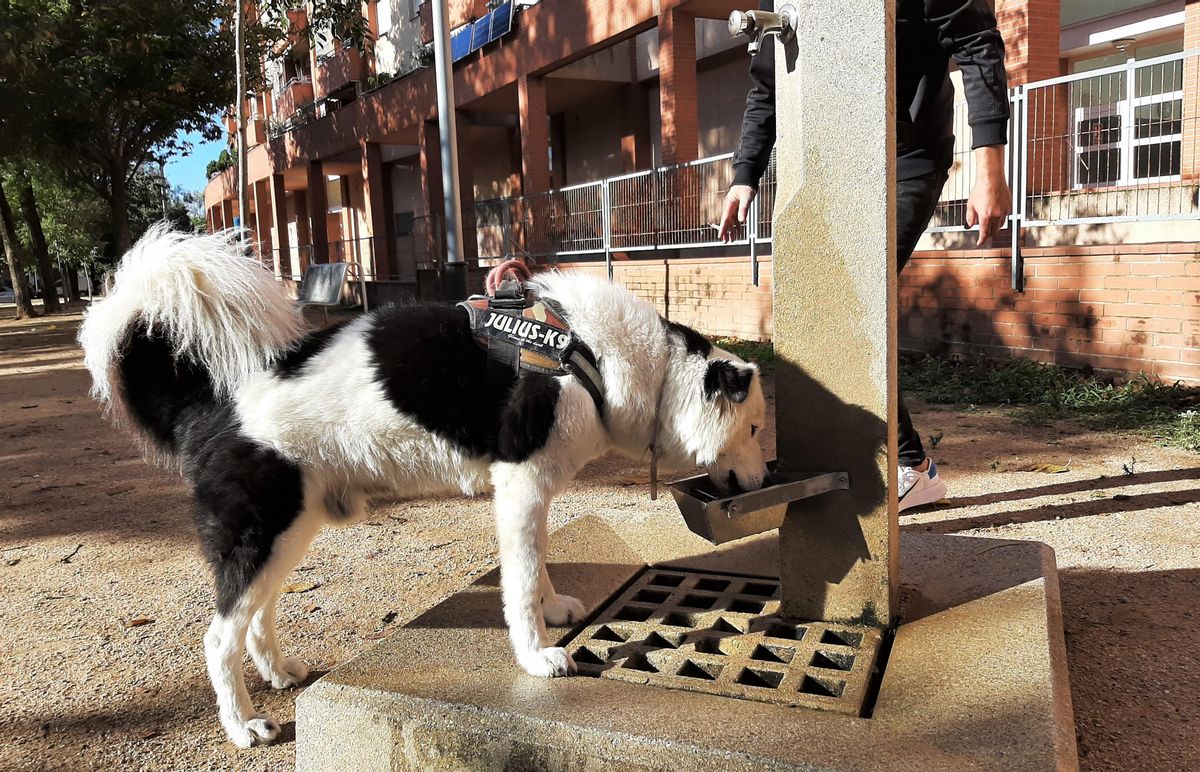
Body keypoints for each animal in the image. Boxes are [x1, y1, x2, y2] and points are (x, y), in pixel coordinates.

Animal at [79, 226, 768, 744]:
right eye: (758, 427)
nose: (767, 477)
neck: (600, 357)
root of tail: (208, 400)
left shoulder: (533, 492)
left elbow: (538, 566)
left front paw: (553, 609)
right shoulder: (521, 485)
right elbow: (520, 582)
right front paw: (537, 653)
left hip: (292, 528)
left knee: (254, 616)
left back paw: (278, 671)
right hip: (263, 529)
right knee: (218, 637)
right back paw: (243, 724)